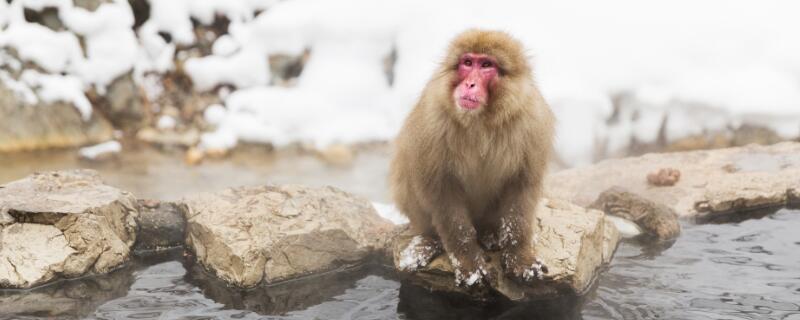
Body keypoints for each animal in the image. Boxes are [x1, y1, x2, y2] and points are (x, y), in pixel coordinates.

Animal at [390, 28, 552, 286]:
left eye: (486, 65)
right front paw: (469, 263)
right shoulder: (432, 121)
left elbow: (522, 187)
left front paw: (519, 255)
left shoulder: (531, 123)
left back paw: (489, 233)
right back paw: (430, 239)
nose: (470, 83)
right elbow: (441, 191)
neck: (481, 120)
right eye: (467, 63)